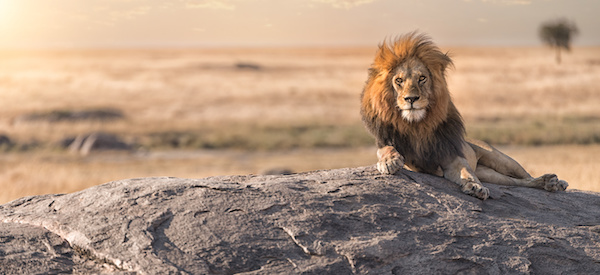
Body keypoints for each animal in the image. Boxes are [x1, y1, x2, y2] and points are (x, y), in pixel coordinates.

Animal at [360, 33, 568, 201]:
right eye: (399, 81)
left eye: (422, 78)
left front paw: (475, 187)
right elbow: (385, 149)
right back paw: (550, 183)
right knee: (514, 182)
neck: (417, 125)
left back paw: (553, 182)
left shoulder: (451, 155)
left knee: (525, 177)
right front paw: (390, 161)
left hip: (501, 159)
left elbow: (465, 172)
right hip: (490, 174)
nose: (411, 99)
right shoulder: (397, 150)